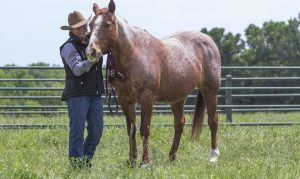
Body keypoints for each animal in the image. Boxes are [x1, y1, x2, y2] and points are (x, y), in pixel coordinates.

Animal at [85, 0, 221, 166]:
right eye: (91, 25)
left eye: (107, 24)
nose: (91, 51)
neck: (135, 54)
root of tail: (209, 40)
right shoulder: (125, 100)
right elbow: (131, 129)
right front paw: (132, 160)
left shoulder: (147, 97)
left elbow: (145, 129)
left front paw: (145, 162)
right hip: (178, 98)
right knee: (179, 124)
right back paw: (172, 157)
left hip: (210, 91)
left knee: (213, 121)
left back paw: (213, 156)